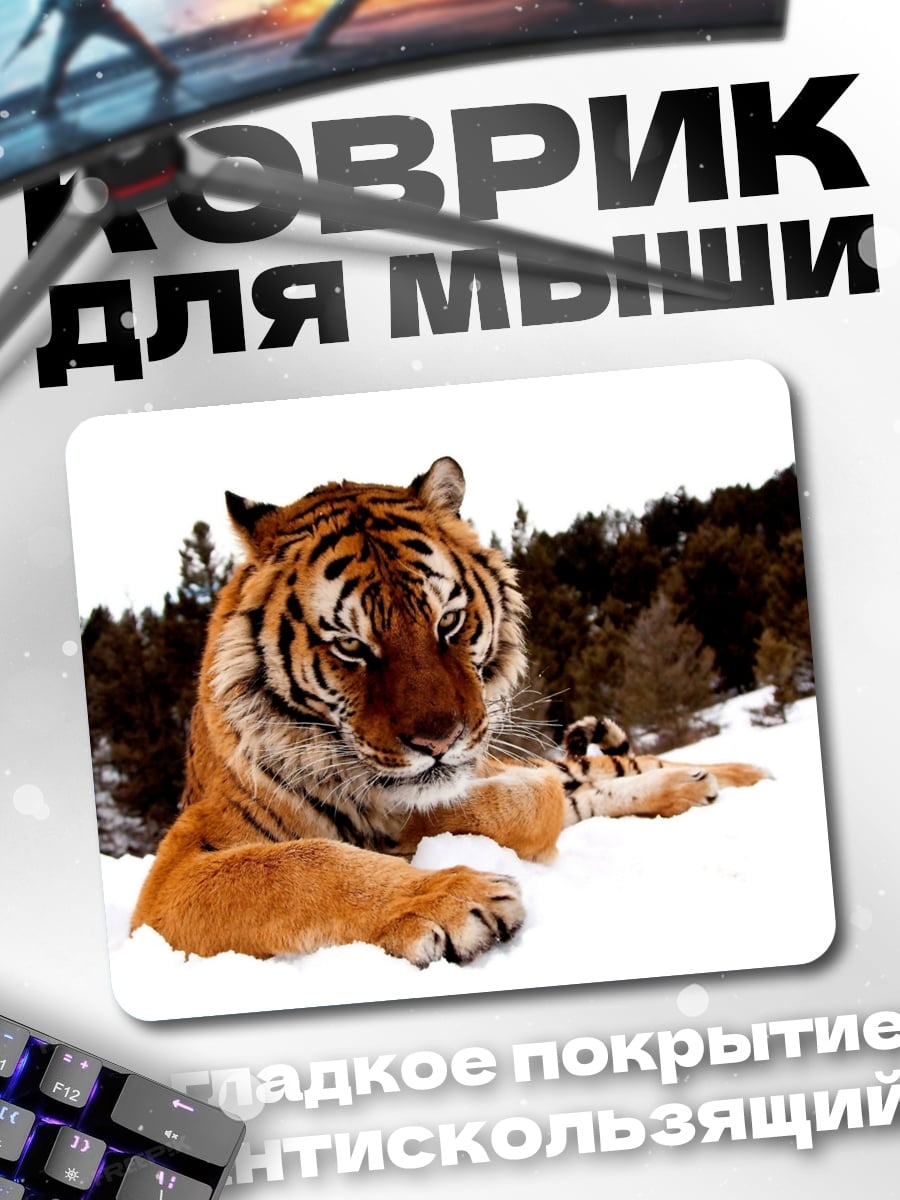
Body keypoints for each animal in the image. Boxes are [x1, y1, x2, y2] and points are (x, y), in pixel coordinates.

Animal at [131, 456, 769, 967]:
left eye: (449, 622)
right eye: (351, 647)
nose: (438, 742)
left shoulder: (502, 771)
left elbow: (522, 799)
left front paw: (415, 832)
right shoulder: (174, 872)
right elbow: (299, 865)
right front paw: (453, 899)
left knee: (619, 770)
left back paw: (733, 775)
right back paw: (698, 786)